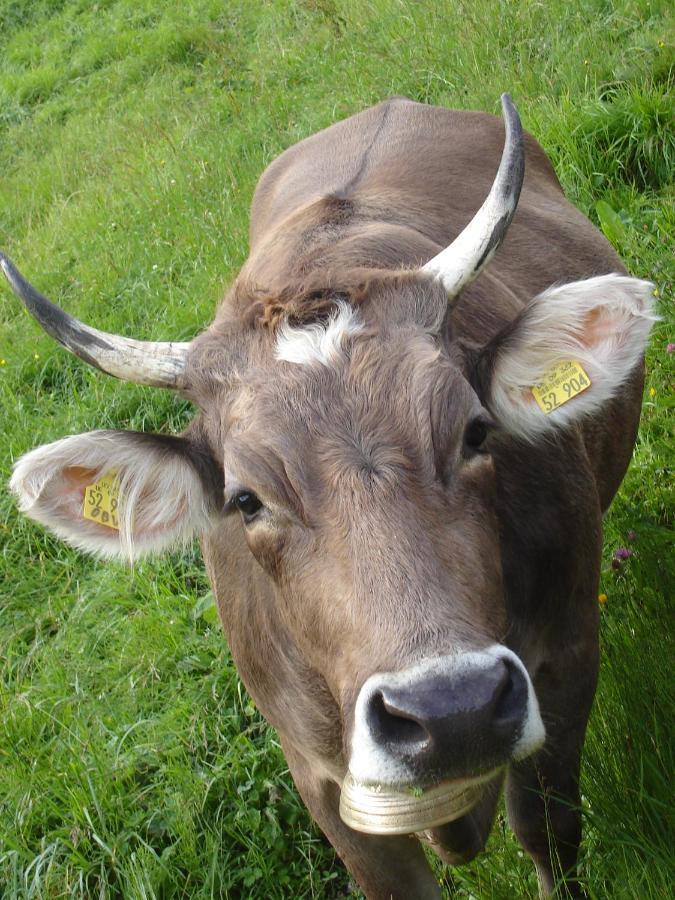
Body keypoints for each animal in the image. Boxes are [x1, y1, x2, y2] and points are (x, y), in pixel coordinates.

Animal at [1, 95, 656, 896]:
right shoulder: (315, 772)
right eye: (245, 500)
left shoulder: (565, 662)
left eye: (475, 432)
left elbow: (546, 831)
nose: (453, 709)